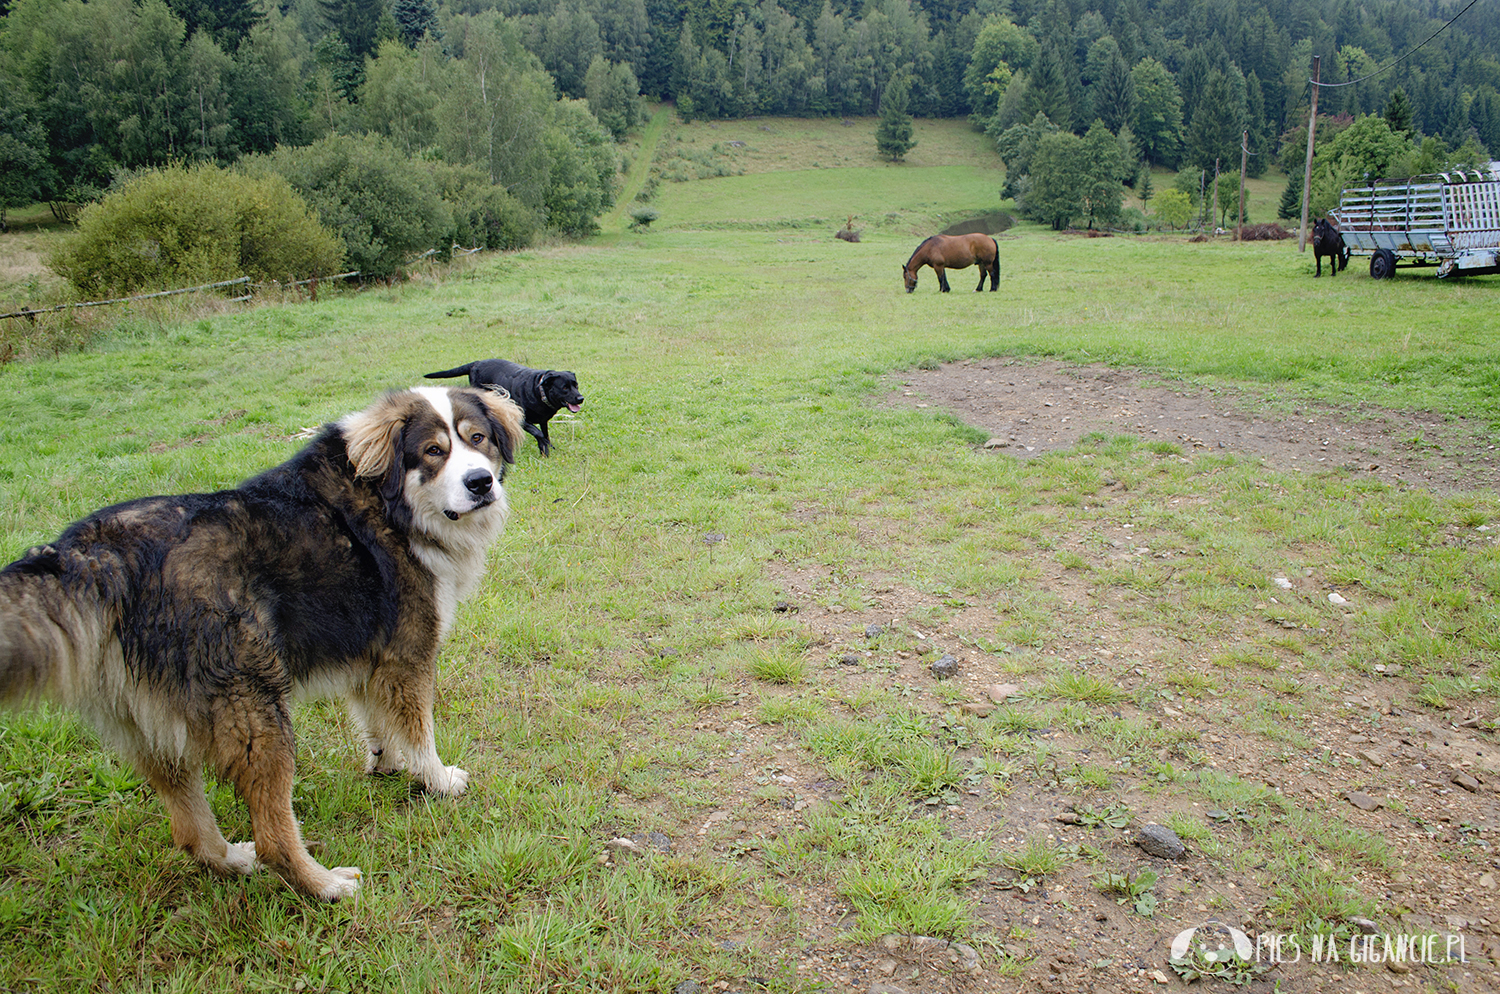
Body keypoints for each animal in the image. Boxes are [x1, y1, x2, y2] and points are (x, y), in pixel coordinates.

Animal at [0, 386, 528, 899]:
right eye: (433, 452)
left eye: (478, 439)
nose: (481, 482)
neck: (391, 502)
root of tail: (94, 555)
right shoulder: (408, 654)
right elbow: (420, 734)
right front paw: (436, 780)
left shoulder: (369, 654)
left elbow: (379, 723)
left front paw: (387, 765)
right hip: (258, 716)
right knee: (274, 834)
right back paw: (326, 885)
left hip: (154, 734)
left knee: (191, 833)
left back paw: (236, 859)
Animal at [429, 359, 585, 455]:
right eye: (564, 388)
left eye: (576, 385)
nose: (580, 398)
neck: (538, 391)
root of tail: (476, 363)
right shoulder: (521, 419)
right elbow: (539, 433)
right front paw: (544, 448)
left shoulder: (543, 420)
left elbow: (544, 434)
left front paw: (547, 449)